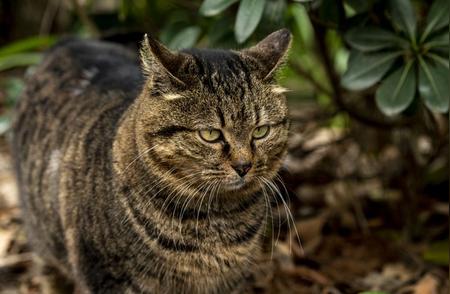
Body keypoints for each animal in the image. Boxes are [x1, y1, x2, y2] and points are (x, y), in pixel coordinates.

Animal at [11, 28, 292, 292]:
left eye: (261, 131)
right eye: (210, 134)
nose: (244, 166)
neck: (217, 220)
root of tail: (70, 42)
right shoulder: (107, 277)